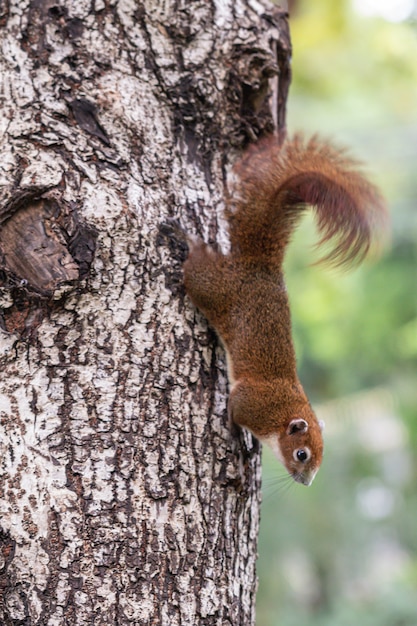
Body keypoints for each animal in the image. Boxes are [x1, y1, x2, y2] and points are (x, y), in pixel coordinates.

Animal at [162, 134, 386, 486]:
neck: (281, 413)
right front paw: (238, 438)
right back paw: (187, 238)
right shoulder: (249, 403)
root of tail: (259, 265)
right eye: (302, 454)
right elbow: (233, 414)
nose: (306, 482)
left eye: (321, 457)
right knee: (198, 267)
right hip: (212, 287)